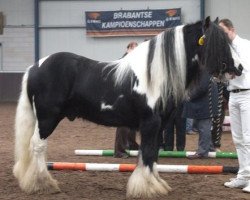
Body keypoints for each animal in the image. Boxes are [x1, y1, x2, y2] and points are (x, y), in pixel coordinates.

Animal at [12, 17, 241, 198]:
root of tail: (35, 67)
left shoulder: (159, 125)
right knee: (37, 146)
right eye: (219, 42)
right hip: (47, 119)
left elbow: (152, 154)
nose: (239, 68)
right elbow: (147, 153)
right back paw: (43, 184)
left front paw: (156, 184)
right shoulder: (150, 123)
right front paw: (146, 188)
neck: (155, 76)